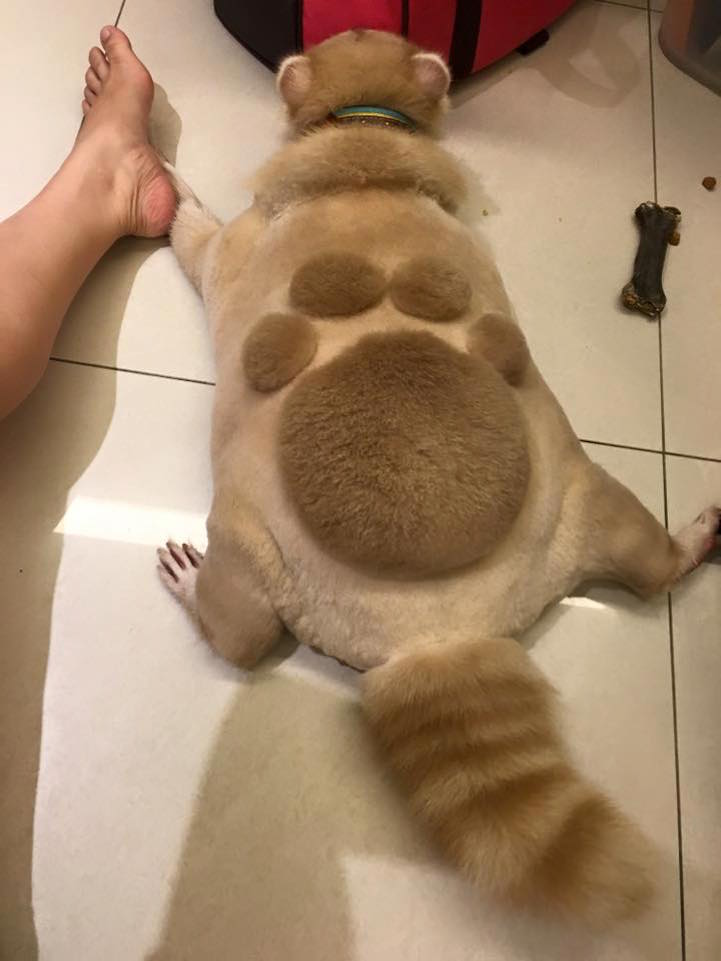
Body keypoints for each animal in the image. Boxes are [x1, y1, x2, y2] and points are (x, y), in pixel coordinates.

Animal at [158, 28, 719, 925]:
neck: (365, 143)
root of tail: (442, 633)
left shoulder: (233, 247)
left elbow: (195, 234)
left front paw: (169, 186)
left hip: (248, 546)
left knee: (241, 633)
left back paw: (192, 586)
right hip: (586, 499)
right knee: (649, 564)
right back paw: (694, 540)